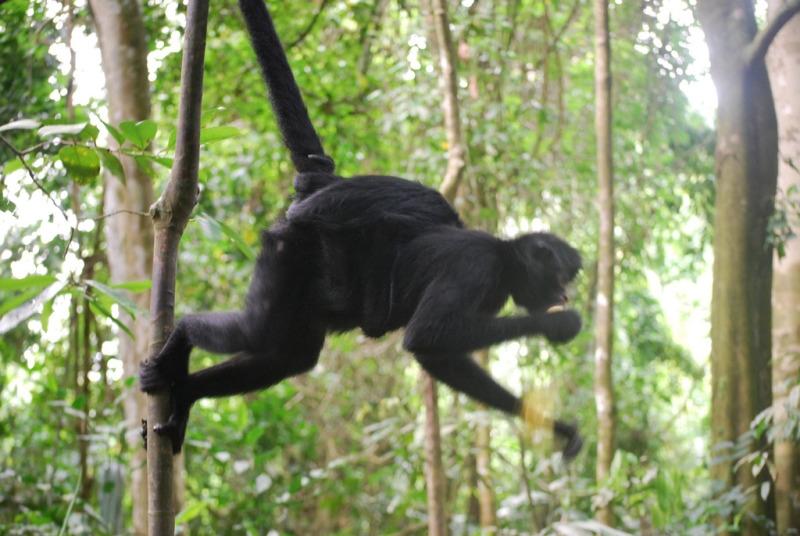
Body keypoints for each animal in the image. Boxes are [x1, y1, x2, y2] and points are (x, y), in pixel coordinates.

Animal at [140, 0, 584, 459]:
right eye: (559, 277)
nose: (564, 295)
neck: (501, 254)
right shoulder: (476, 266)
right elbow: (426, 336)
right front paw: (559, 325)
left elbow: (439, 357)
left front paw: (557, 427)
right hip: (291, 244)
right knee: (256, 329)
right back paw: (183, 333)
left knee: (289, 355)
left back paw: (186, 392)